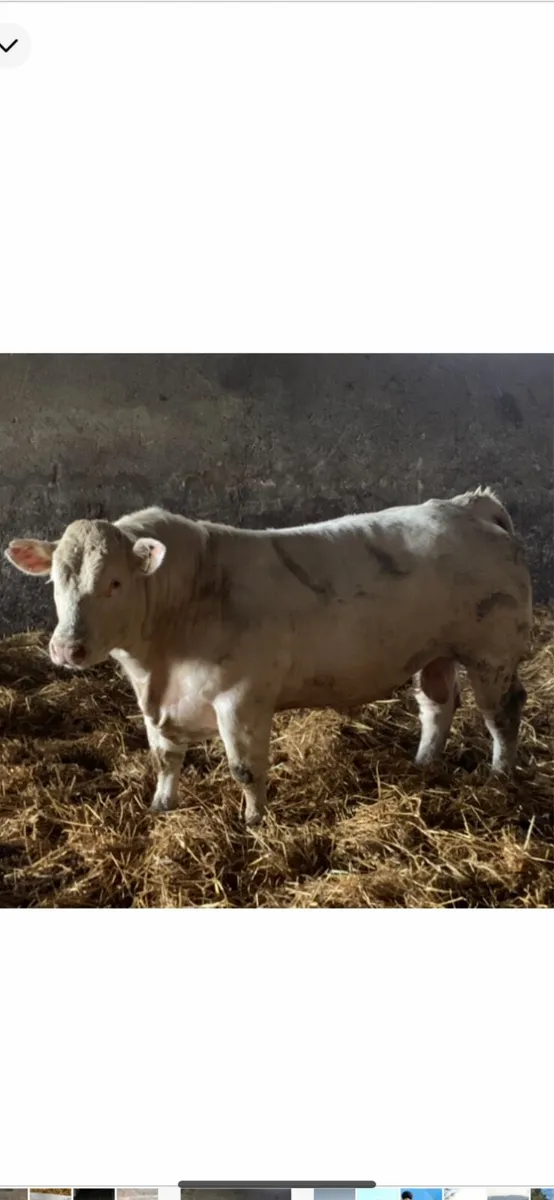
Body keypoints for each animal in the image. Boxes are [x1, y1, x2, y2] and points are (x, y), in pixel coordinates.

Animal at [4, 486, 532, 824]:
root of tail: (468, 505)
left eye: (114, 582)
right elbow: (164, 759)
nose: (66, 648)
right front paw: (161, 808)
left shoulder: (242, 699)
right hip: (434, 653)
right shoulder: (158, 705)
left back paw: (499, 776)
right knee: (438, 705)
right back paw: (423, 764)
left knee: (501, 713)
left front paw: (254, 822)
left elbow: (245, 768)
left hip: (493, 650)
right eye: (55, 580)